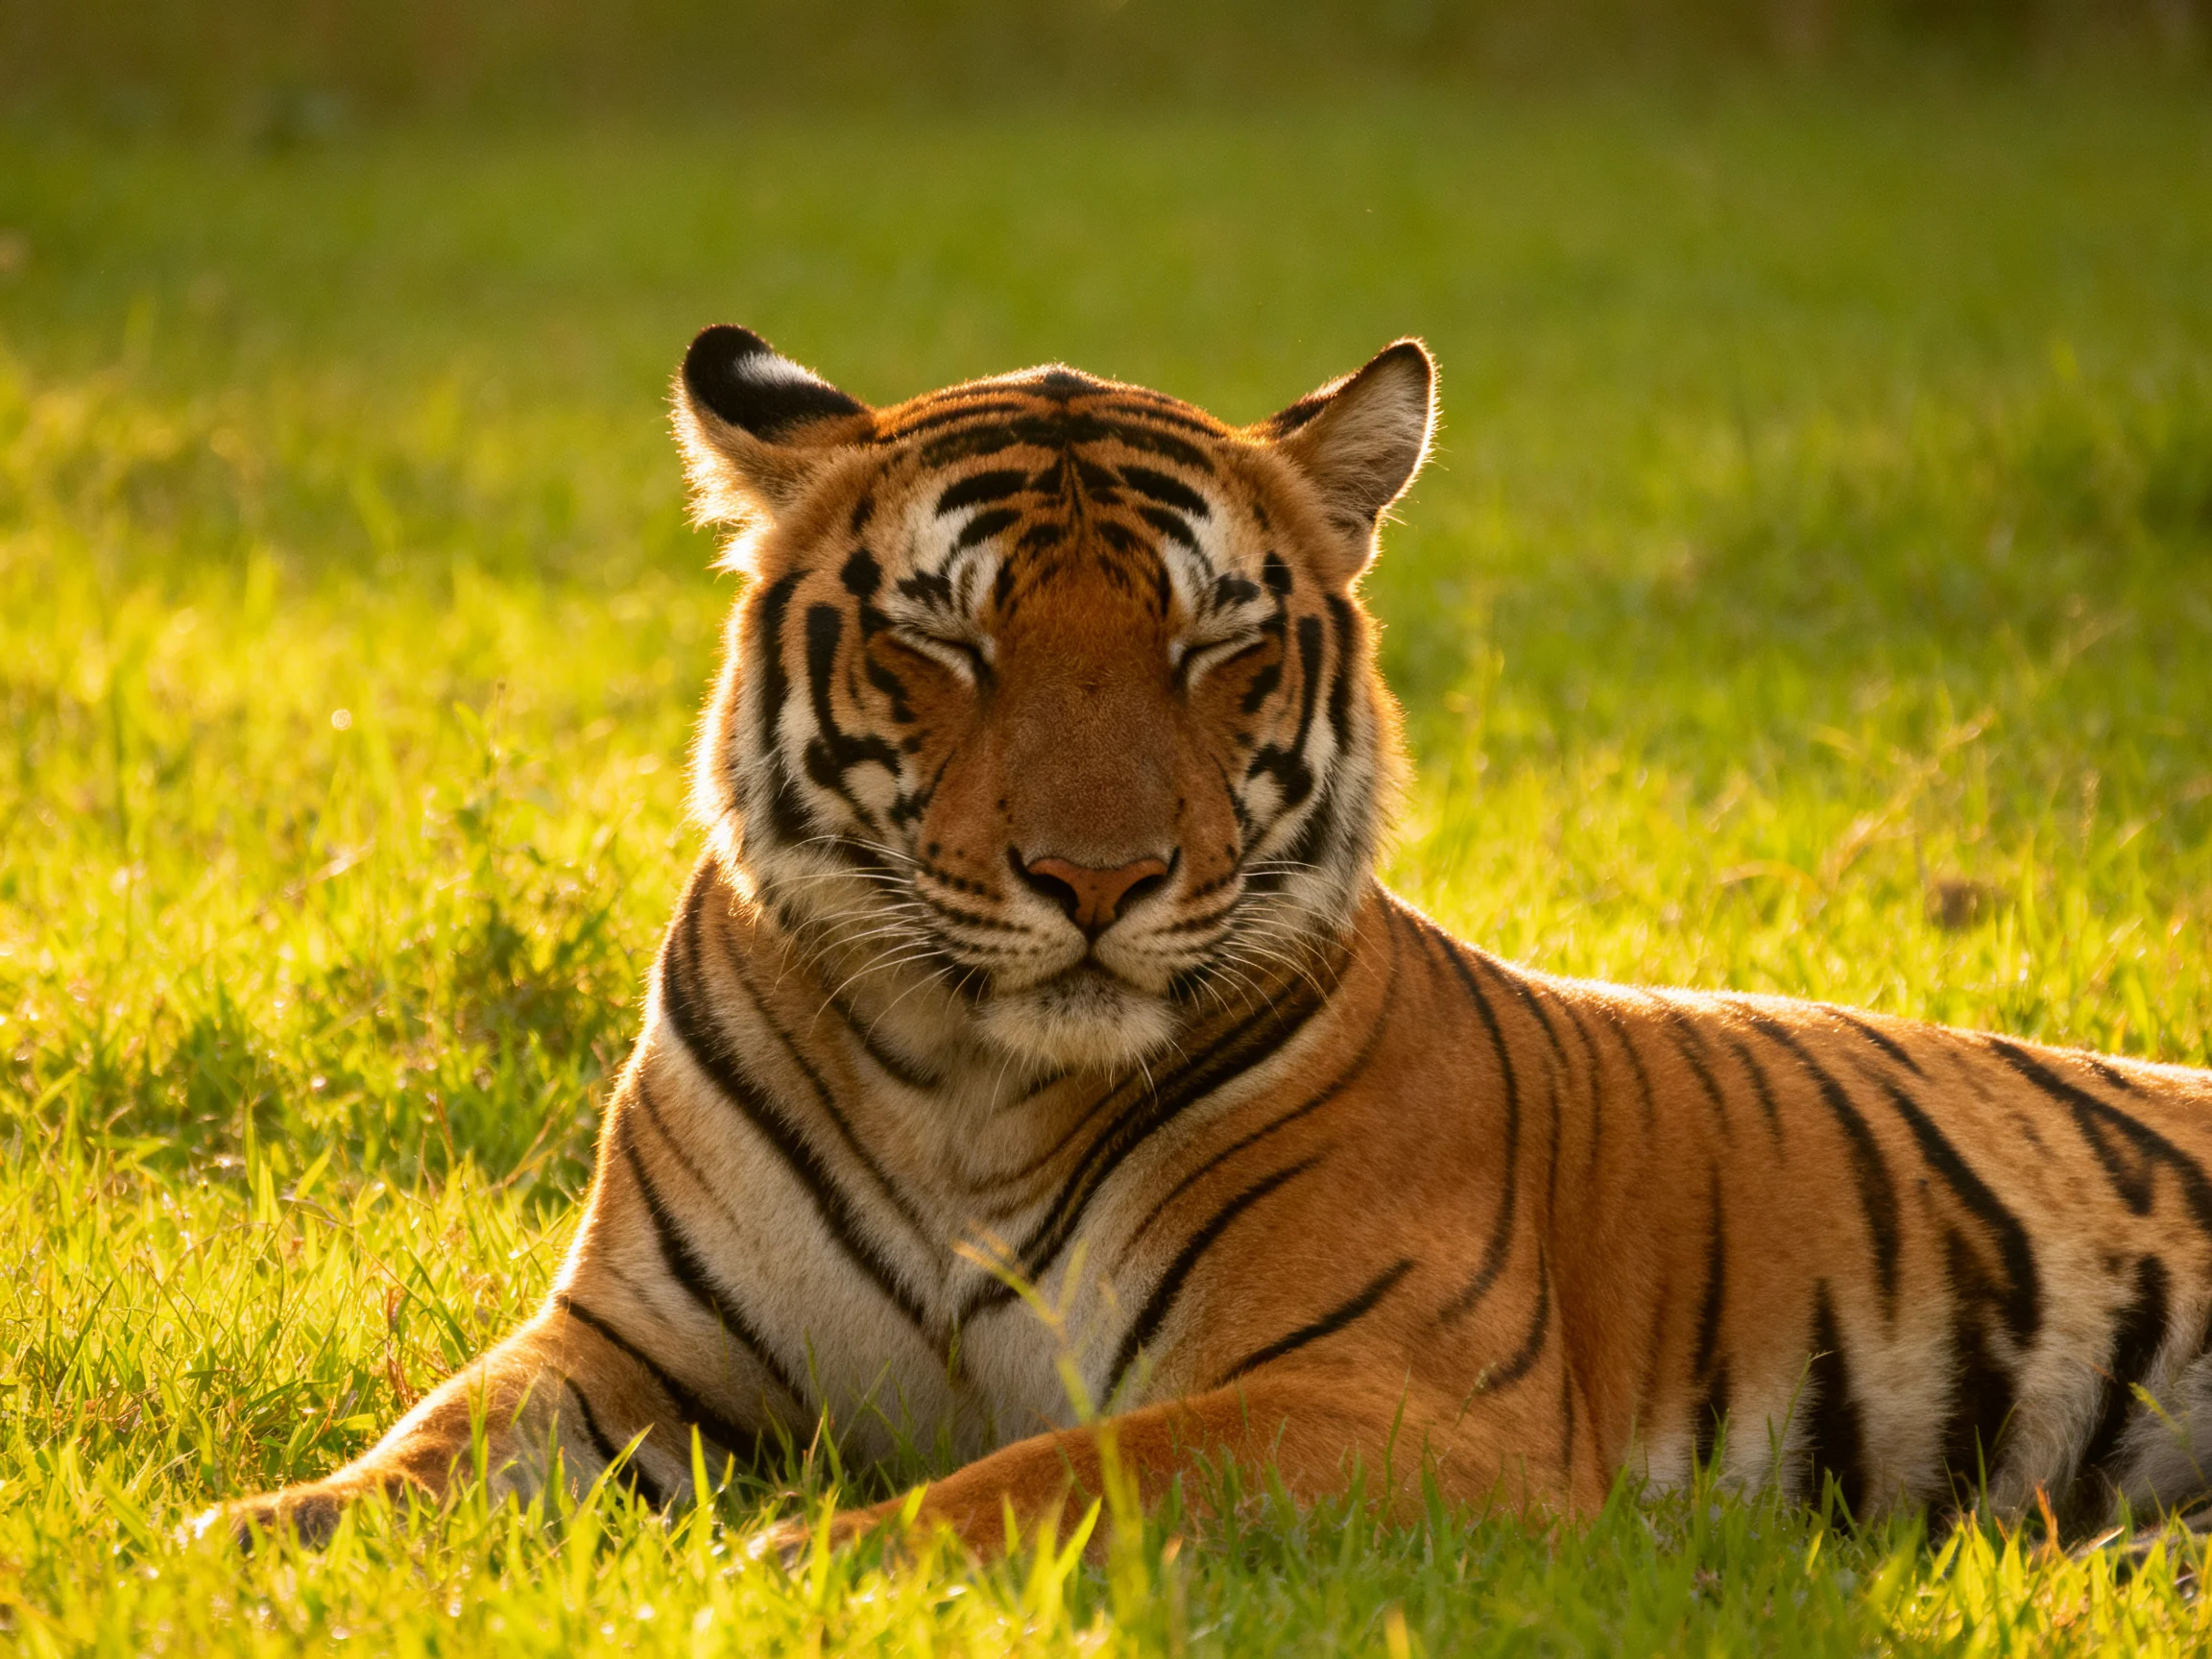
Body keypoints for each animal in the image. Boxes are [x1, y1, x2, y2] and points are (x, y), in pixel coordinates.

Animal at [216, 323, 2212, 1559]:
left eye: (1211, 647)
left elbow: (1051, 1474)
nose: (1093, 878)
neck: (965, 1084)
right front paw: (254, 1539)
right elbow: (427, 1444)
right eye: (946, 644)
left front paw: (801, 1560)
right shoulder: (633, 1346)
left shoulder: (1399, 1395)